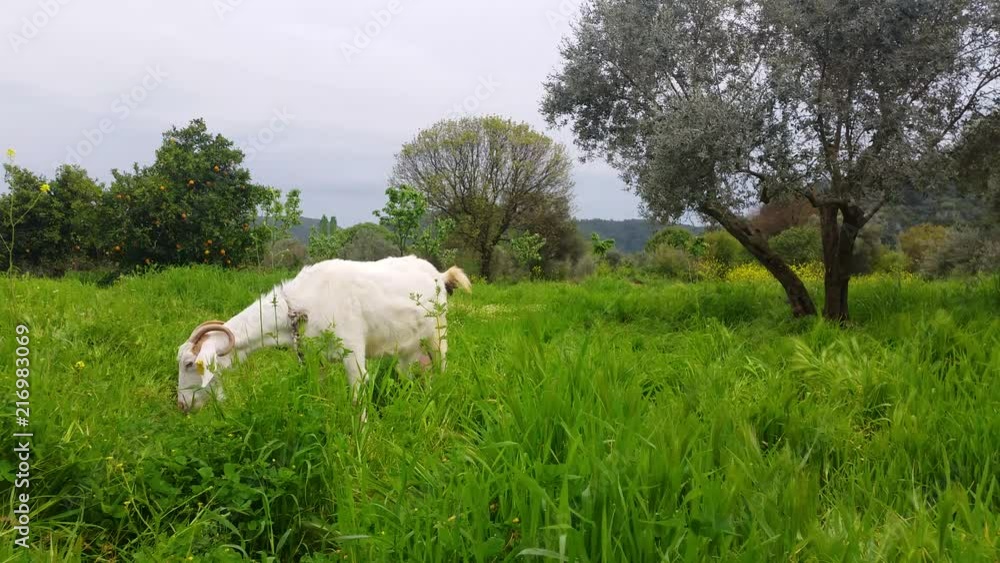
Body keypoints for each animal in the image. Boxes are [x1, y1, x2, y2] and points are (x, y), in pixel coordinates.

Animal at [176, 256, 472, 413]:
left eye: (190, 364)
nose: (182, 405)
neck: (301, 306)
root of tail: (440, 275)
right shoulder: (312, 356)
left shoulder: (353, 352)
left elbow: (357, 398)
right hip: (407, 349)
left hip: (438, 335)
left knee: (441, 368)